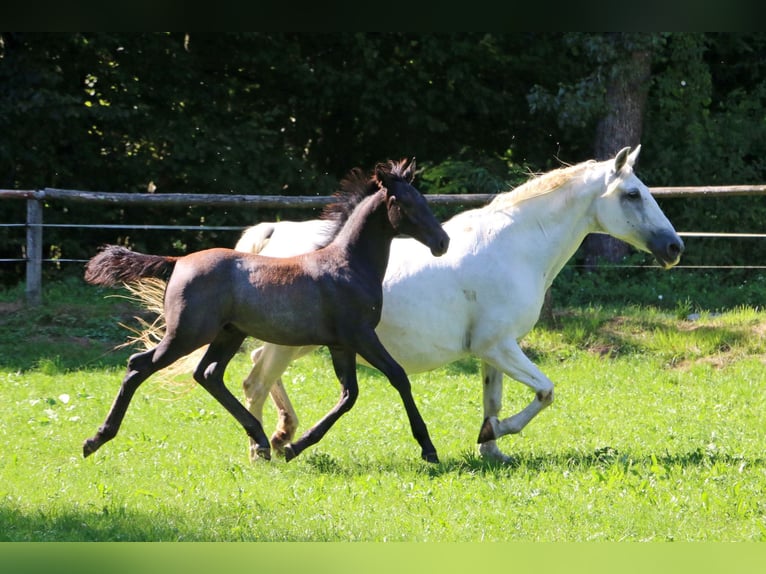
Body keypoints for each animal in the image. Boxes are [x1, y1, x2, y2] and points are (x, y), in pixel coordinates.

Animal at [82, 160, 450, 466]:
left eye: (423, 199)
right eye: (403, 202)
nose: (442, 242)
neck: (348, 266)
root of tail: (178, 261)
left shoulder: (340, 344)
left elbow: (349, 395)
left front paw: (293, 446)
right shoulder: (360, 335)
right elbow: (398, 377)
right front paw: (428, 449)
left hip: (229, 333)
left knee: (208, 374)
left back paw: (259, 440)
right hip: (186, 334)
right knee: (139, 366)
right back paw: (95, 439)